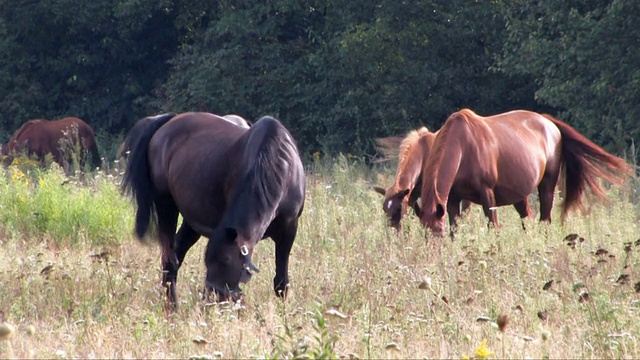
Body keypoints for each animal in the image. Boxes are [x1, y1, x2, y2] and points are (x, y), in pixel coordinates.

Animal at [123, 112, 308, 310]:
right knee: (169, 259)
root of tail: (169, 121)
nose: (213, 296)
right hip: (166, 206)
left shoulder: (289, 230)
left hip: (191, 222)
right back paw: (171, 308)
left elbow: (281, 282)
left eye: (226, 260)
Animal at [418, 108, 632, 238]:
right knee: (528, 219)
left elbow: (494, 228)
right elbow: (455, 231)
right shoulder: (453, 200)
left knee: (545, 219)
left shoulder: (487, 195)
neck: (463, 146)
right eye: (424, 232)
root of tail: (549, 122)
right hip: (519, 196)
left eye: (437, 231)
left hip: (547, 187)